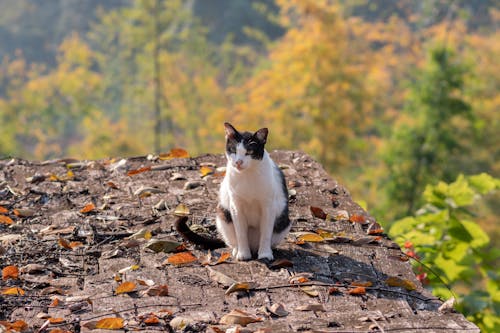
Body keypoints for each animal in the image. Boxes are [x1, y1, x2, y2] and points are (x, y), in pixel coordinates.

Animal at [177, 122, 292, 260]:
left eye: (249, 152)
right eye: (234, 151)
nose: (238, 162)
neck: (247, 175)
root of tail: (253, 247)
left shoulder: (268, 206)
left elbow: (266, 234)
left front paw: (265, 254)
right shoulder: (236, 206)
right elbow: (241, 233)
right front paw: (243, 254)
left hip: (284, 223)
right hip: (223, 216)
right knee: (233, 239)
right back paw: (237, 250)